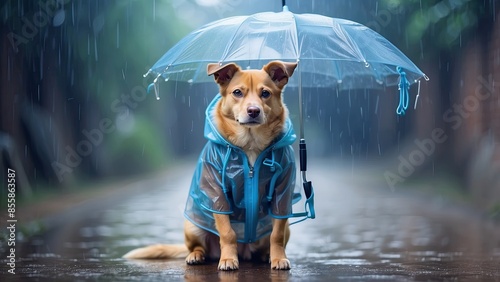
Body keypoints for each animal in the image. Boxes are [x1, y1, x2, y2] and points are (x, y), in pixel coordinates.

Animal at [123, 60, 298, 270]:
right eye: (237, 92)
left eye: (265, 93)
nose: (254, 111)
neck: (250, 144)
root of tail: (245, 251)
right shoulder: (217, 193)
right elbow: (227, 233)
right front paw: (228, 259)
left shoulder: (282, 194)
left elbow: (276, 235)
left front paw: (279, 258)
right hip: (193, 226)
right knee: (197, 247)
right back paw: (196, 256)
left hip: (283, 228)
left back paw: (267, 255)